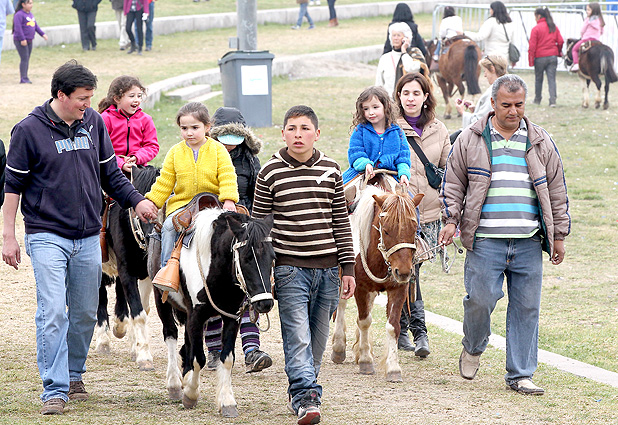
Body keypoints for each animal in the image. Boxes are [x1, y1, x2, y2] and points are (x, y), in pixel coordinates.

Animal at [95, 164, 160, 370]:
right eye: (145, 211)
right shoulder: (126, 271)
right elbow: (138, 313)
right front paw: (144, 357)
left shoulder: (145, 275)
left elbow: (141, 309)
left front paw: (135, 347)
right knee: (100, 299)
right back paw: (103, 342)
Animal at [148, 207, 274, 416]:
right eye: (246, 257)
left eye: (272, 258)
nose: (265, 304)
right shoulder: (196, 315)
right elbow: (199, 358)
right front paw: (191, 395)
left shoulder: (232, 317)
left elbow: (227, 358)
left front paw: (227, 402)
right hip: (161, 300)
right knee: (171, 335)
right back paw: (175, 384)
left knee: (187, 343)